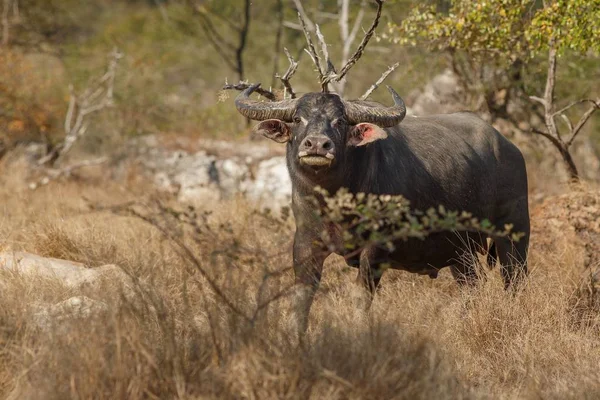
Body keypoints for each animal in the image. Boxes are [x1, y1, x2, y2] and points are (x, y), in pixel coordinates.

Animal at [234, 84, 528, 334]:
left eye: (340, 122)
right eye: (297, 119)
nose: (317, 145)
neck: (337, 202)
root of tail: (509, 148)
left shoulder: (376, 248)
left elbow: (361, 295)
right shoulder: (306, 243)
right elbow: (302, 296)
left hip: (513, 237)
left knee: (514, 280)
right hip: (461, 252)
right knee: (472, 285)